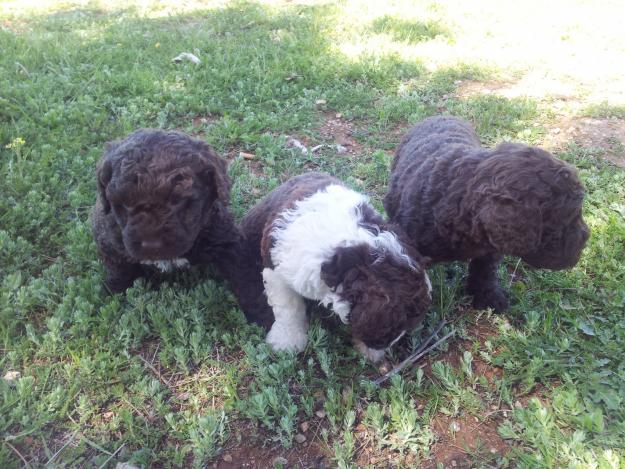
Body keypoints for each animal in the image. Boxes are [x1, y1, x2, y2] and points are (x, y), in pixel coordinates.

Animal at [91, 127, 272, 326]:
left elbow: (246, 279)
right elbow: (119, 271)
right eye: (125, 204)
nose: (151, 245)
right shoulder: (110, 241)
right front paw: (113, 295)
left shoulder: (226, 240)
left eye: (179, 201)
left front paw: (266, 316)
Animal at [386, 114, 588, 310]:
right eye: (570, 217)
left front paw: (488, 297)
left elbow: (485, 271)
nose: (586, 239)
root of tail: (439, 115)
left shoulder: (491, 247)